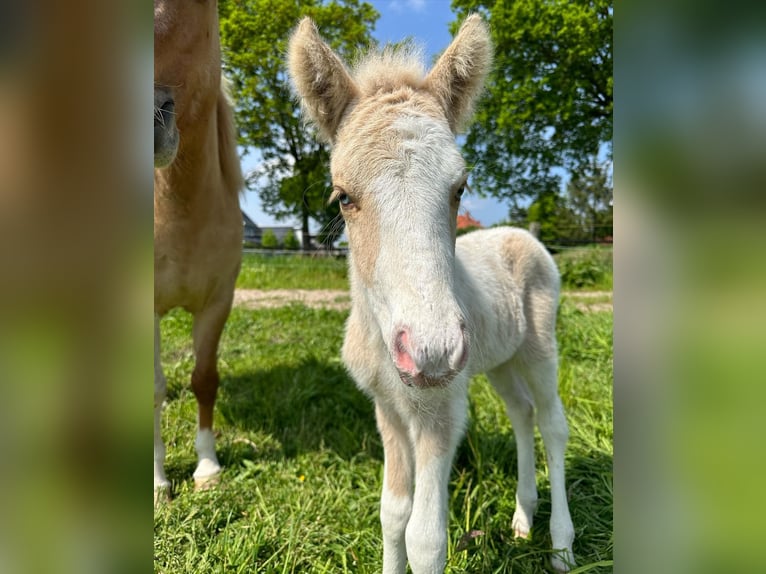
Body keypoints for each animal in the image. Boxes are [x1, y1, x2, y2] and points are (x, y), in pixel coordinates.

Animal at [290, 15, 576, 572]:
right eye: (343, 196)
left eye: (459, 188)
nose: (432, 351)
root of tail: (525, 235)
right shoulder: (388, 408)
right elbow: (391, 513)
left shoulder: (441, 409)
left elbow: (426, 538)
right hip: (500, 359)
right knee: (521, 413)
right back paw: (522, 519)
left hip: (538, 347)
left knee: (552, 422)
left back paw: (561, 545)